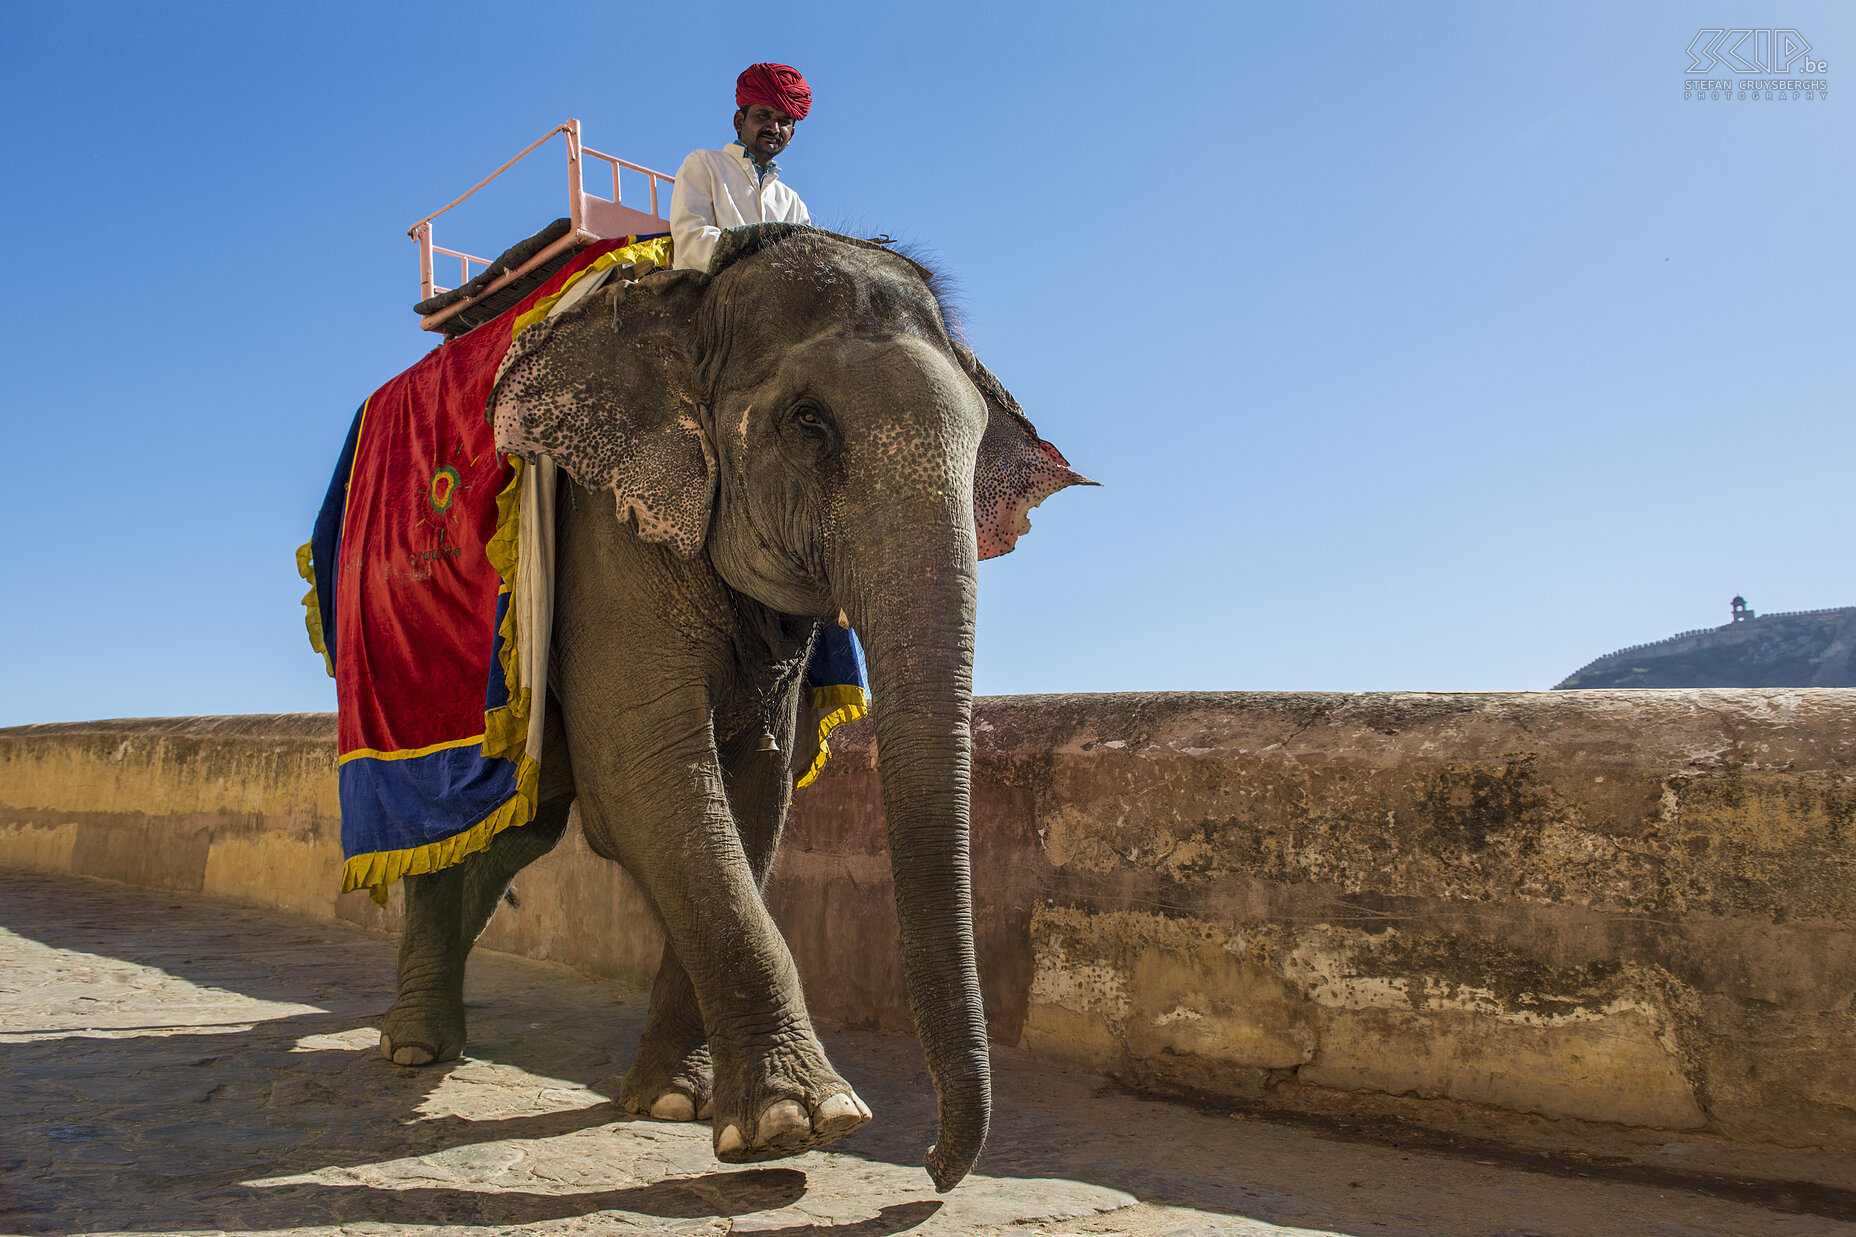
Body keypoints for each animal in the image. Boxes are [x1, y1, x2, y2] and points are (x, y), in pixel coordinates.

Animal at [371, 221, 1083, 1188]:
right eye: (808, 422)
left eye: (977, 442)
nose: (935, 1170)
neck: (696, 294)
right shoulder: (608, 530)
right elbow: (650, 774)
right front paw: (803, 1122)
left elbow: (752, 791)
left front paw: (677, 1102)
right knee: (471, 827)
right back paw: (413, 1049)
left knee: (513, 832)